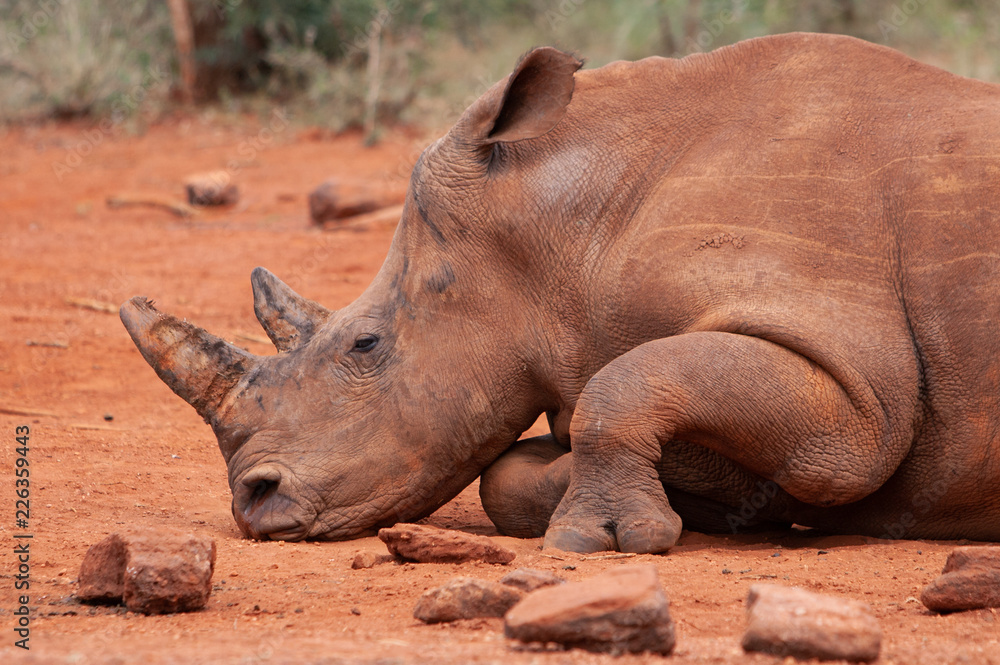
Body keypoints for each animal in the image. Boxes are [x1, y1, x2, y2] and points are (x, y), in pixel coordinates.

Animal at [120, 33, 1000, 553]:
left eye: (365, 345)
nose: (253, 501)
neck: (574, 225)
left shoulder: (855, 399)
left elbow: (625, 385)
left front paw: (603, 535)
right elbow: (508, 468)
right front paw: (708, 499)